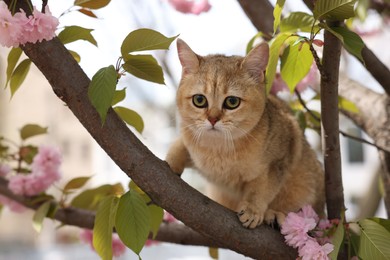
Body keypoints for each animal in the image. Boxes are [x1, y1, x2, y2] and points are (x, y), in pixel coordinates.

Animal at [165, 38, 326, 228]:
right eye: (199, 100)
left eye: (232, 102)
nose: (212, 119)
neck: (219, 149)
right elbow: (179, 144)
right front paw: (171, 161)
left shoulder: (281, 156)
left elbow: (262, 188)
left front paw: (252, 208)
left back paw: (276, 214)